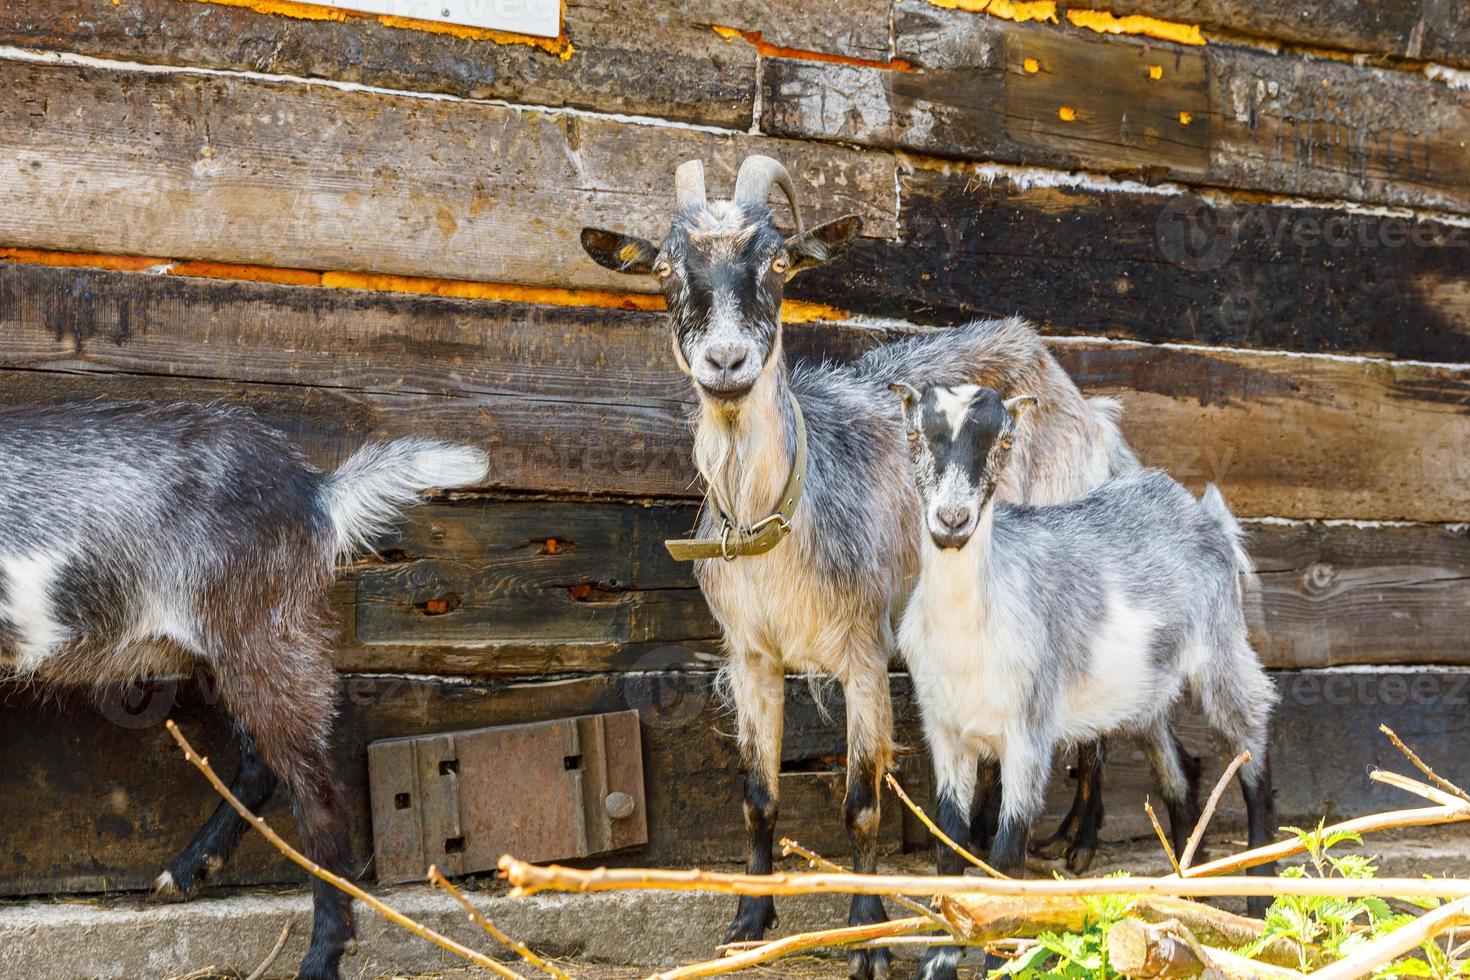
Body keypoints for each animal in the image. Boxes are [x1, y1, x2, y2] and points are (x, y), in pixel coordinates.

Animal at [0, 399, 493, 980]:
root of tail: (317, 490)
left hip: (262, 629)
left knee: (319, 793)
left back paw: (322, 955)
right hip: (229, 648)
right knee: (263, 765)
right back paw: (187, 872)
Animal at [576, 157, 1158, 975]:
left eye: (778, 263)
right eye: (664, 268)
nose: (726, 362)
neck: (782, 516)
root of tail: (1081, 399)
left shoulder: (861, 651)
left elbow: (861, 802)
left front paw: (868, 933)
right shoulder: (750, 656)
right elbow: (758, 794)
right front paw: (748, 921)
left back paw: (1077, 843)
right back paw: (983, 848)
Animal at [887, 382, 1281, 980]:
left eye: (1005, 440)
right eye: (913, 434)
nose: (952, 520)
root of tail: (1203, 512)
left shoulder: (1028, 732)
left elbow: (1005, 853)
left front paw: (1002, 956)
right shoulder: (945, 732)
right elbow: (948, 846)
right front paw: (938, 959)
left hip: (1221, 647)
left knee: (1252, 743)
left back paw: (1259, 899)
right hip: (1144, 691)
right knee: (1180, 773)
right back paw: (1187, 898)